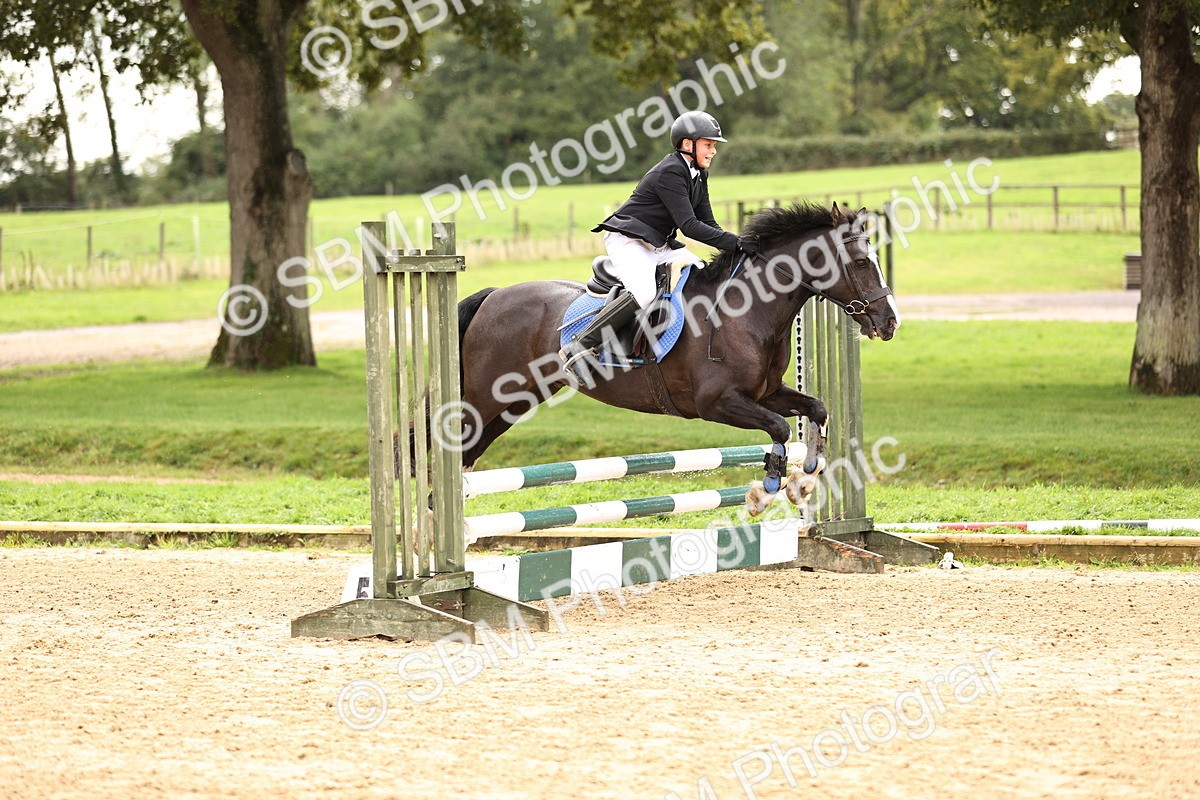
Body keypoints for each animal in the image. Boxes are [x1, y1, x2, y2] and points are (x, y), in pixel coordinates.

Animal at [454, 202, 900, 514]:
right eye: (863, 262)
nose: (890, 322)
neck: (750, 311)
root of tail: (493, 295)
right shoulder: (716, 403)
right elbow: (779, 428)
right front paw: (767, 490)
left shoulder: (766, 392)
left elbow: (817, 409)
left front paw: (804, 480)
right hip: (484, 398)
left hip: (514, 402)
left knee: (469, 452)